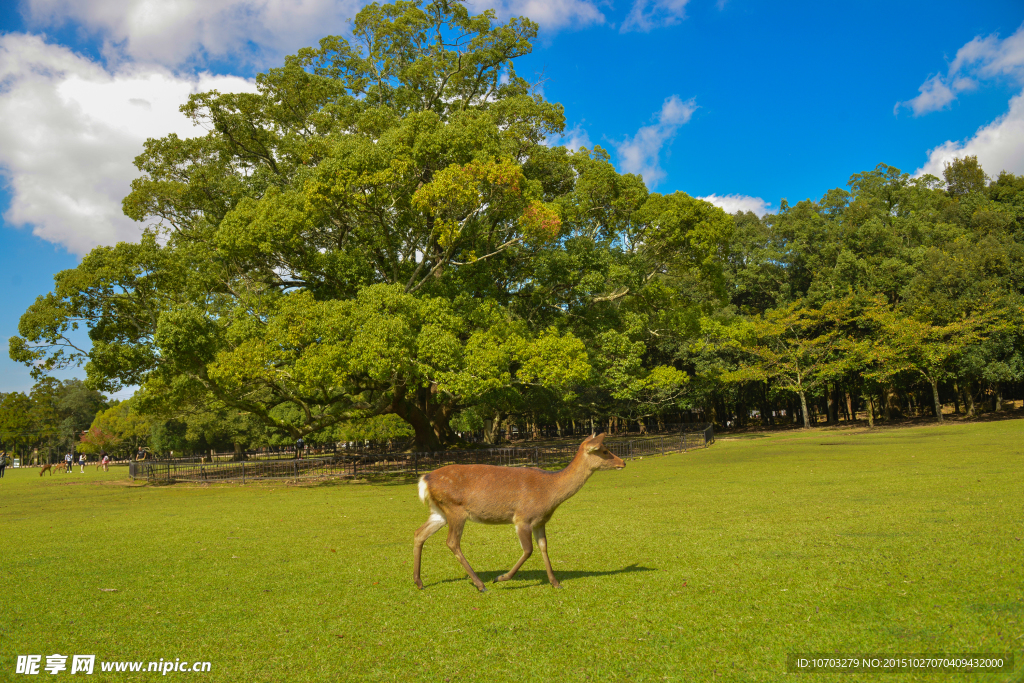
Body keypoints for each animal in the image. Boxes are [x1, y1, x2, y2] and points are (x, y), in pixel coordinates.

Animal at [413, 436, 622, 589]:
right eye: (604, 451)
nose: (623, 462)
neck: (550, 493)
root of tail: (424, 480)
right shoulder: (522, 518)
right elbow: (528, 550)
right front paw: (501, 577)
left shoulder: (540, 521)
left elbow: (544, 547)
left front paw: (555, 582)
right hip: (455, 509)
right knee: (452, 542)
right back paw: (480, 584)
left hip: (439, 512)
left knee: (419, 533)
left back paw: (419, 581)